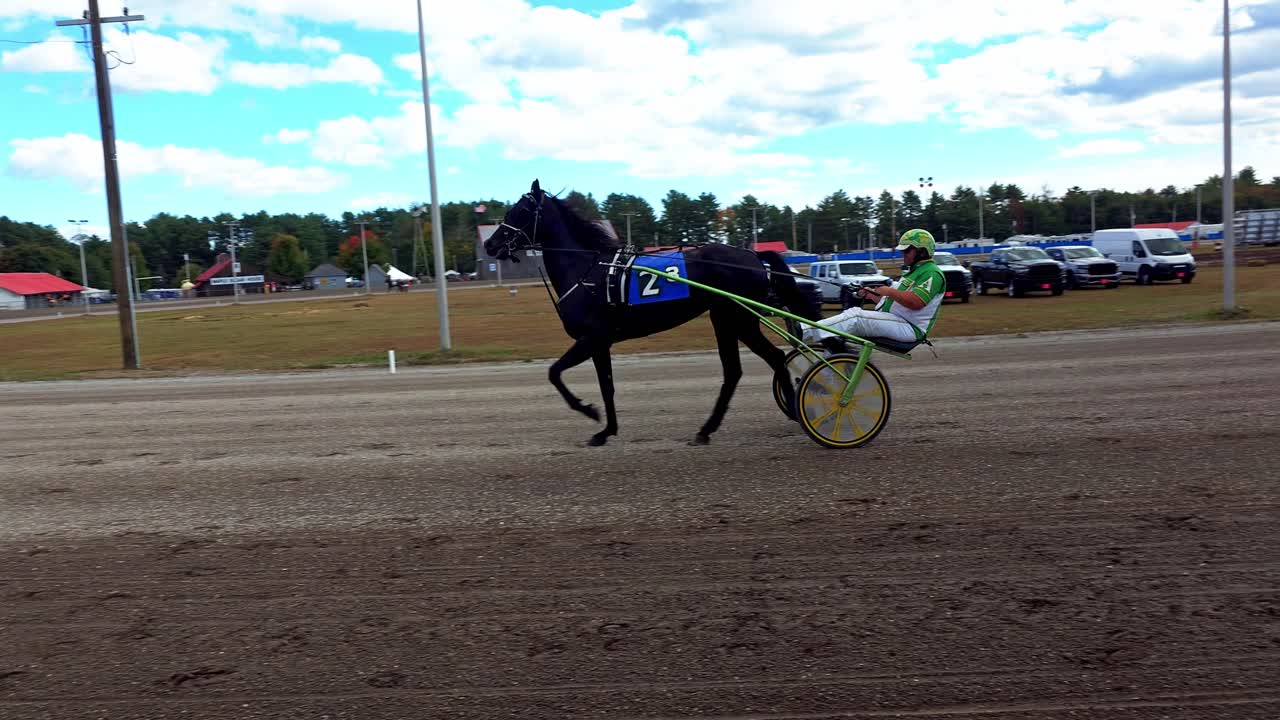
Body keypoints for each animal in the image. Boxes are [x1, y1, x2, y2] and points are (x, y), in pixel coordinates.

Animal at [483, 179, 822, 447]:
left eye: (520, 212)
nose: (490, 244)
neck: (589, 270)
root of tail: (752, 255)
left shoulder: (592, 338)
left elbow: (555, 373)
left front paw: (589, 411)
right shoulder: (601, 343)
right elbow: (607, 386)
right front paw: (606, 431)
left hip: (738, 318)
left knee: (769, 359)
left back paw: (791, 411)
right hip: (726, 319)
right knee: (741, 369)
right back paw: (710, 428)